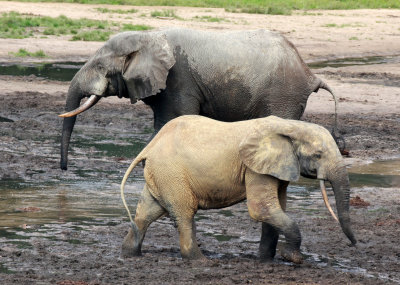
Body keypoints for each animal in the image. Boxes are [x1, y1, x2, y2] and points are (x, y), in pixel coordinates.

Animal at [59, 27, 340, 169]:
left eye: (99, 66)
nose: (64, 169)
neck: (148, 36)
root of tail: (309, 72)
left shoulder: (179, 80)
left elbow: (172, 122)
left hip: (283, 94)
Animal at [119, 114, 356, 262]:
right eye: (318, 155)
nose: (354, 245)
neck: (290, 126)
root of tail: (149, 146)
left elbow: (276, 208)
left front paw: (265, 261)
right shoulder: (255, 168)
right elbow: (261, 208)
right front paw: (293, 259)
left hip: (162, 174)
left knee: (146, 213)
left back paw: (130, 255)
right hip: (172, 173)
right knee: (184, 213)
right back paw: (201, 261)